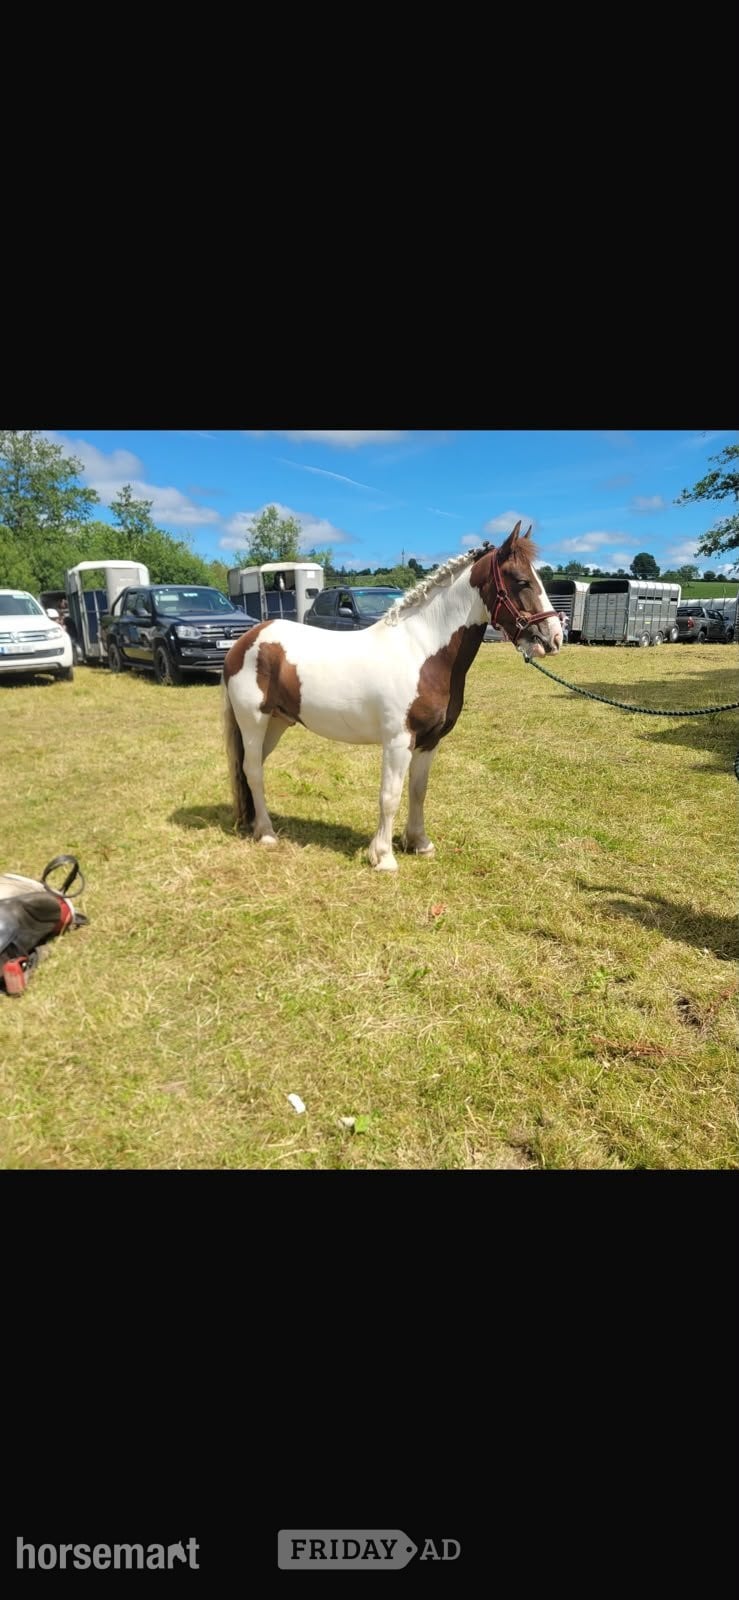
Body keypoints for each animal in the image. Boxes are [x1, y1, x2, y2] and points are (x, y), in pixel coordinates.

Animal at [222, 522, 562, 870]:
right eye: (521, 581)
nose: (554, 638)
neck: (423, 652)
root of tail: (246, 640)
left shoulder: (429, 741)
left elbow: (418, 790)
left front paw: (419, 843)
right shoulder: (398, 741)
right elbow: (390, 795)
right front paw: (383, 856)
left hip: (276, 722)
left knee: (253, 767)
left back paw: (255, 824)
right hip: (253, 721)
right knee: (252, 770)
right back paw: (266, 833)